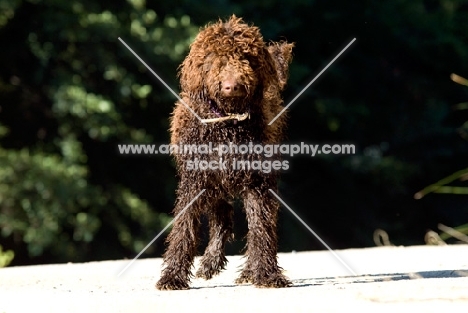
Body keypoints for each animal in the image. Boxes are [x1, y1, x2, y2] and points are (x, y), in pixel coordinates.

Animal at [155, 14, 292, 288]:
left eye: (246, 58)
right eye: (214, 59)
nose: (232, 86)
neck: (227, 124)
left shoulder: (258, 182)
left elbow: (260, 226)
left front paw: (266, 274)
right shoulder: (195, 181)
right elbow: (184, 226)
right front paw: (173, 276)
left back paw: (245, 270)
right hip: (214, 184)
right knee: (223, 217)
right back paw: (210, 262)